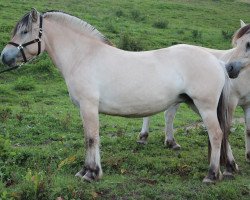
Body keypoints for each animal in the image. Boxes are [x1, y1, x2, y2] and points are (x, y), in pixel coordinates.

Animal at [0, 9, 240, 183]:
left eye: (24, 31)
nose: (5, 57)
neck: (83, 56)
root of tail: (217, 61)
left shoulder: (88, 106)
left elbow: (91, 138)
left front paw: (91, 173)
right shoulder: (85, 109)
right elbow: (90, 138)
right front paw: (86, 171)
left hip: (204, 106)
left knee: (216, 134)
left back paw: (212, 175)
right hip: (198, 106)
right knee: (224, 133)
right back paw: (229, 168)